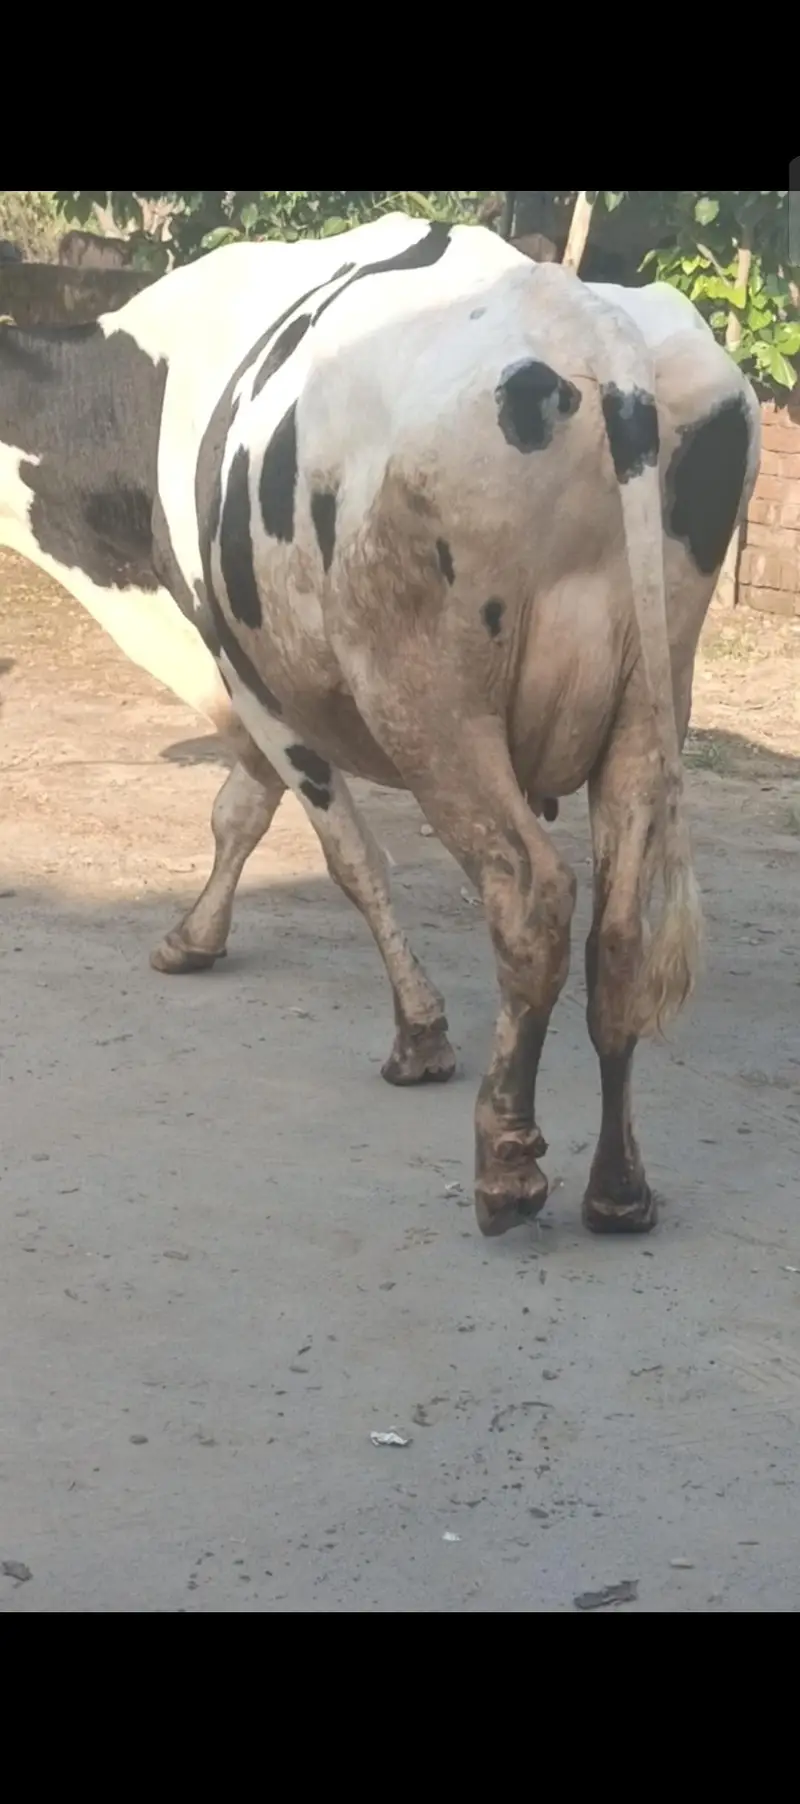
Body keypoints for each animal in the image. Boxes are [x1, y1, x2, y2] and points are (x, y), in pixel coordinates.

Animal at [0, 215, 761, 1237]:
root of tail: (598, 335)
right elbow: (242, 810)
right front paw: (195, 936)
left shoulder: (244, 664)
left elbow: (337, 849)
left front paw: (420, 1032)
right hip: (652, 698)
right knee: (620, 931)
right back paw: (619, 1187)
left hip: (424, 694)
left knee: (530, 894)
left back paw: (507, 1164)